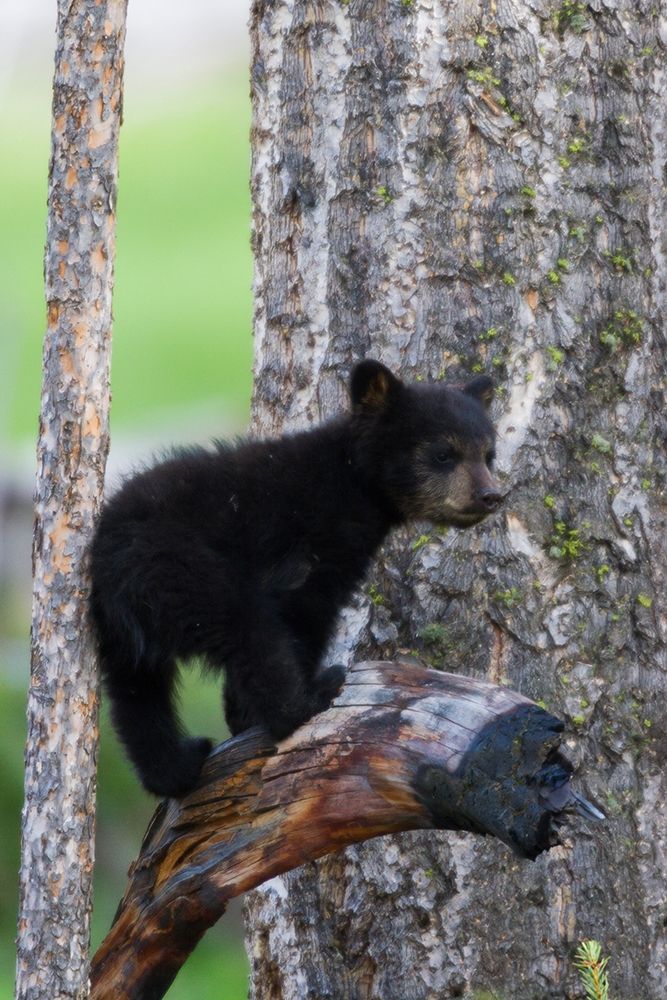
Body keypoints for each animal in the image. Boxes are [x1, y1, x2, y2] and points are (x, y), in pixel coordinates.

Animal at [89, 360, 503, 797]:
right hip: (184, 569)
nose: (491, 495)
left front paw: (239, 715)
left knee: (135, 693)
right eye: (443, 454)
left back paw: (174, 767)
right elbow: (308, 610)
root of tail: (110, 558)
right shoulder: (316, 541)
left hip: (120, 627)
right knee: (245, 627)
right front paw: (266, 704)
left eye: (488, 455)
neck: (355, 478)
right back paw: (308, 701)